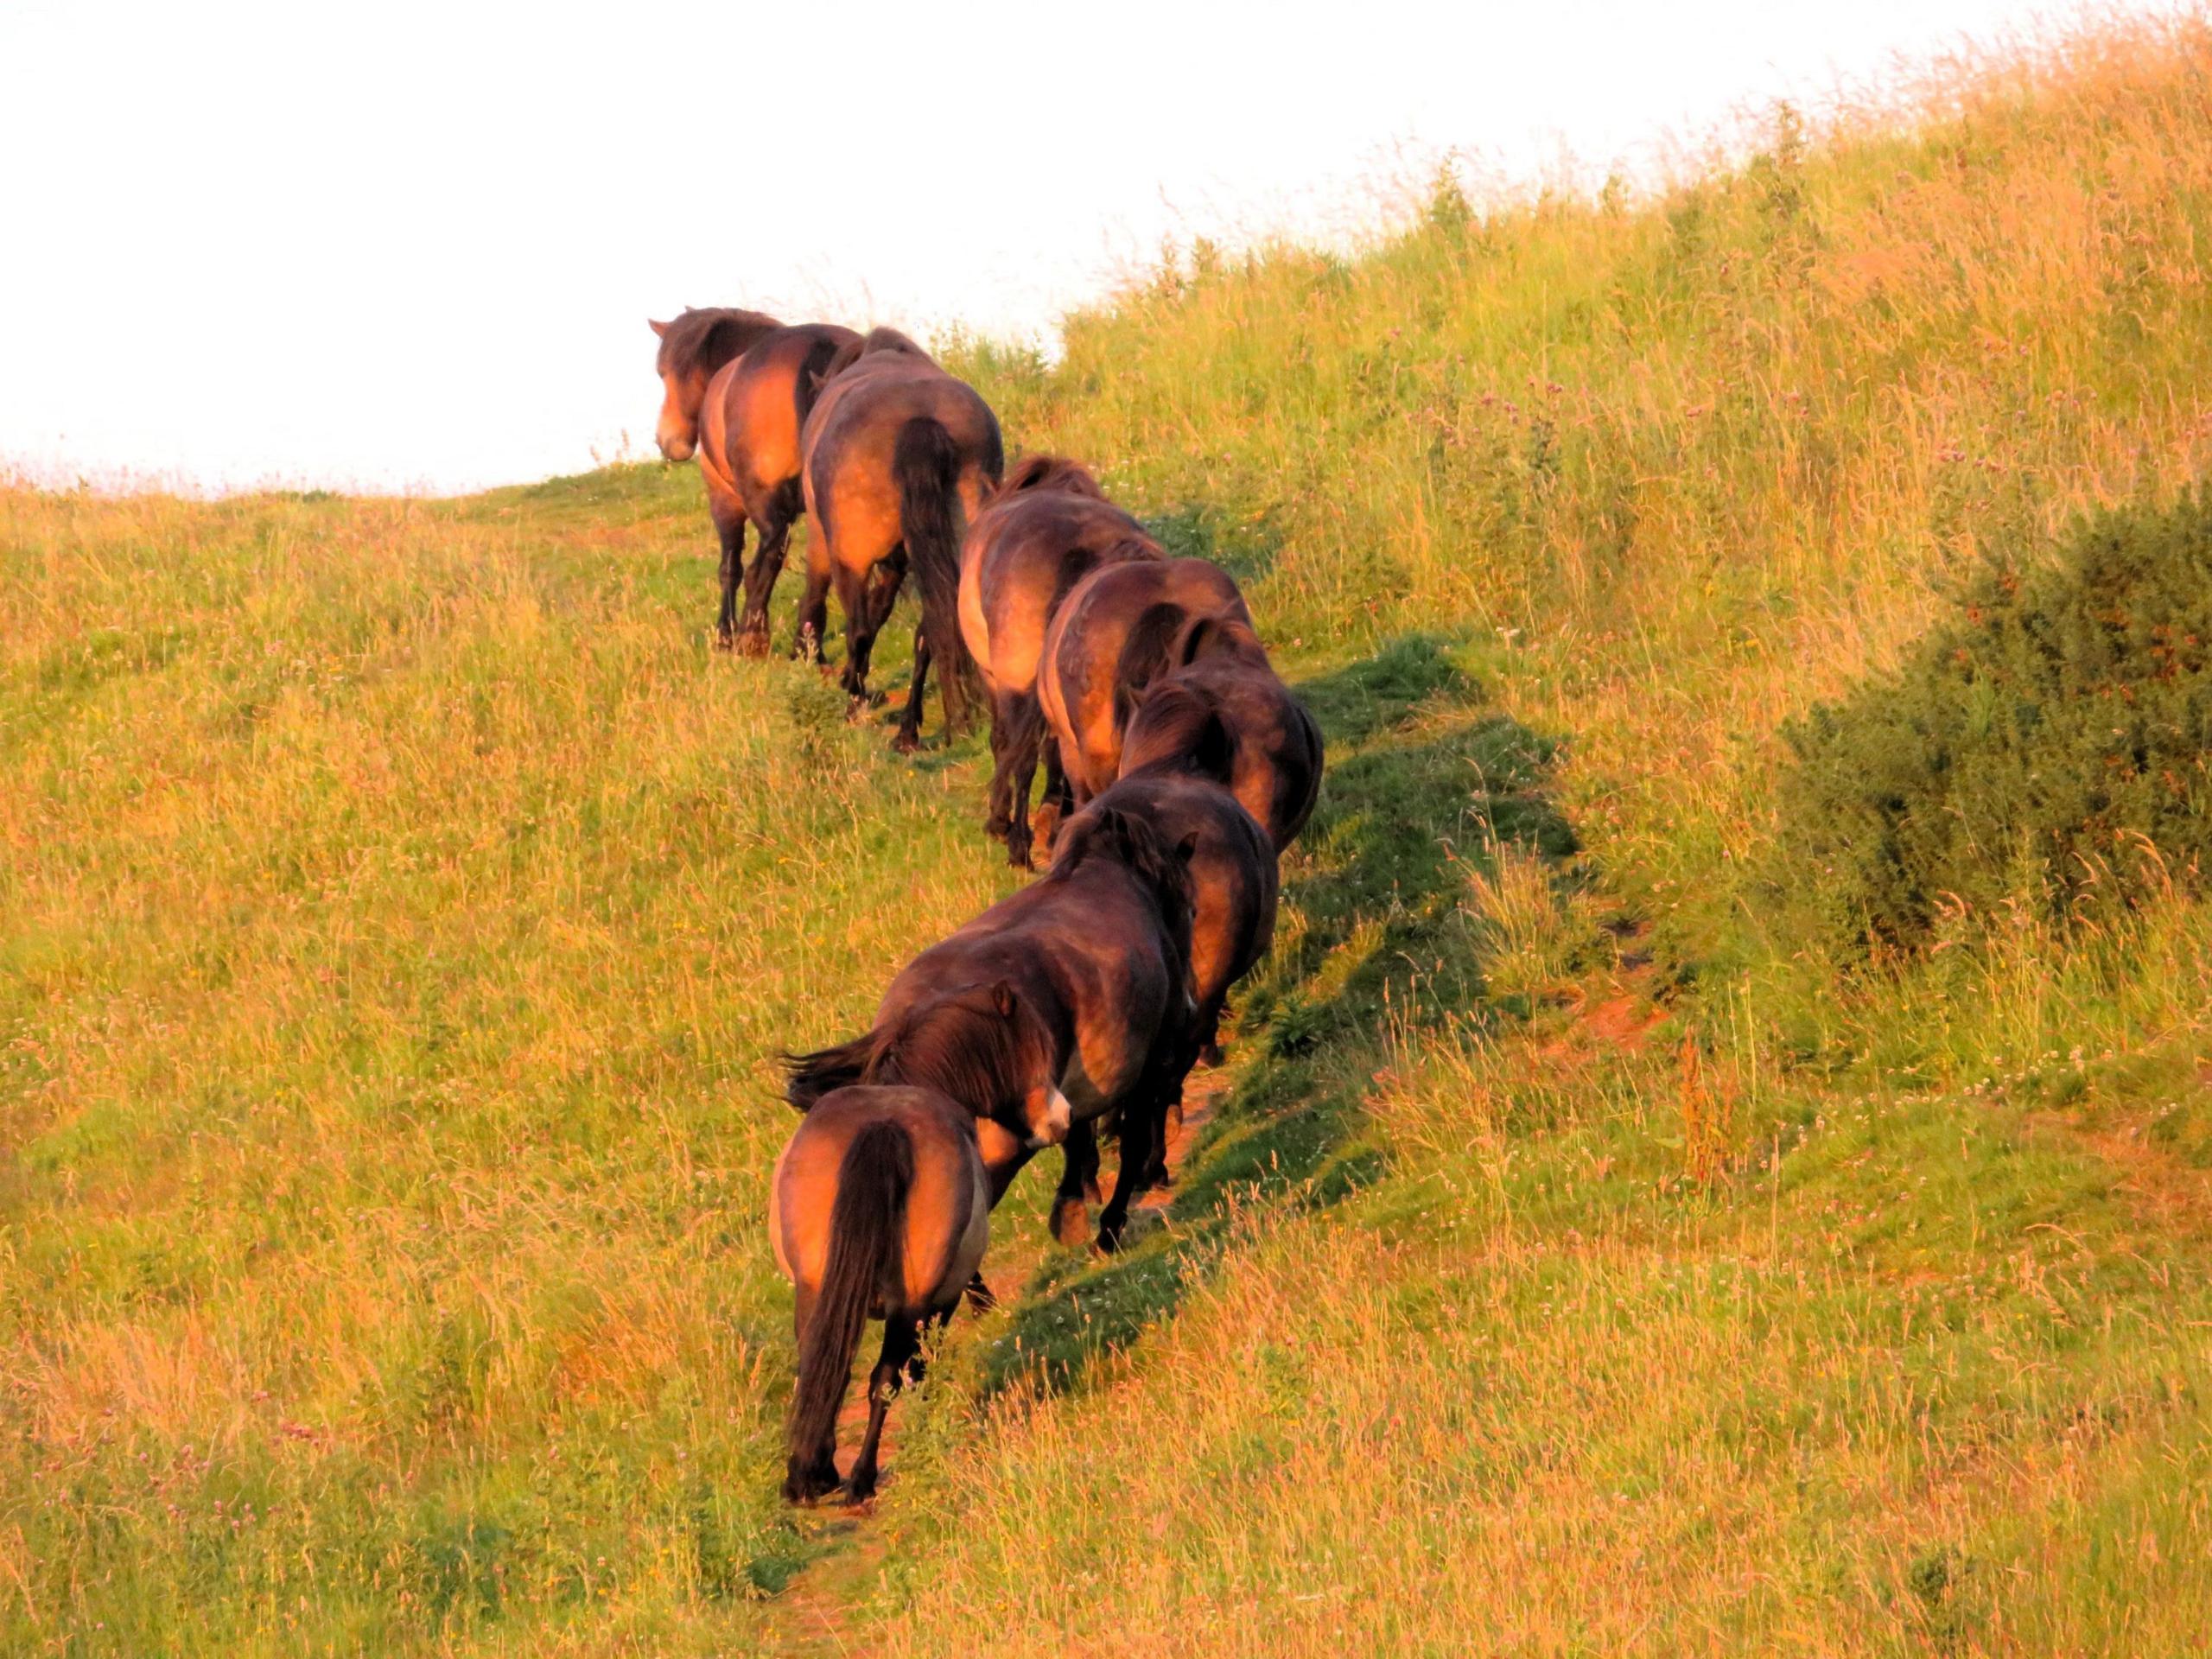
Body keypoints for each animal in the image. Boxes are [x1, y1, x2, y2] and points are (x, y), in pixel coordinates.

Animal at [645, 311, 858, 654]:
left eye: (663, 373)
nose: (668, 441)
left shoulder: (725, 503)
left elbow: (730, 568)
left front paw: (725, 634)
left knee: (767, 559)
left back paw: (753, 636)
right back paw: (806, 644)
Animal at [769, 1092, 1004, 1503]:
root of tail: (884, 1124)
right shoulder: (941, 1305)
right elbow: (920, 1370)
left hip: (817, 1292)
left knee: (827, 1367)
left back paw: (808, 1477)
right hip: (909, 1307)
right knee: (884, 1381)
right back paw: (860, 1478)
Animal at [783, 800, 1194, 1247]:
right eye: (1188, 906)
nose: (1192, 1007)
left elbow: (1082, 1138)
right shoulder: (1150, 1065)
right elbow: (1130, 1142)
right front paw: (1109, 1224)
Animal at [796, 327, 1004, 752]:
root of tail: (921, 420)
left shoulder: (826, 545)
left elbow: (824, 602)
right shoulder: (898, 562)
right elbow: (883, 613)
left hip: (851, 559)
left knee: (859, 630)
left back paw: (855, 705)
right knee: (932, 631)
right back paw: (922, 727)